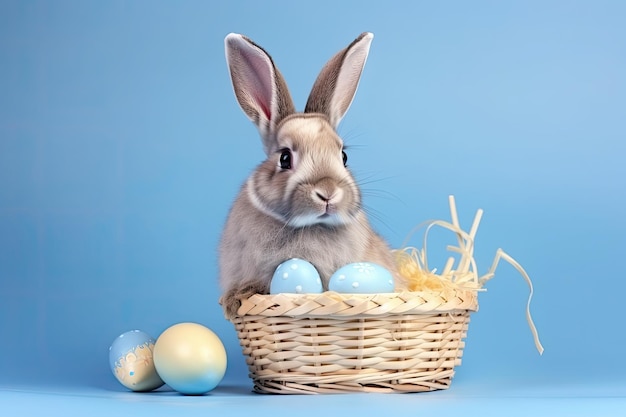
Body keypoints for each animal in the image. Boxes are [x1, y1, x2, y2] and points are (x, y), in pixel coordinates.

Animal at [217, 33, 398, 318]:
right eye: (284, 158)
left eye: (343, 157)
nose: (328, 192)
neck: (308, 226)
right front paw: (235, 299)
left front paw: (238, 297)